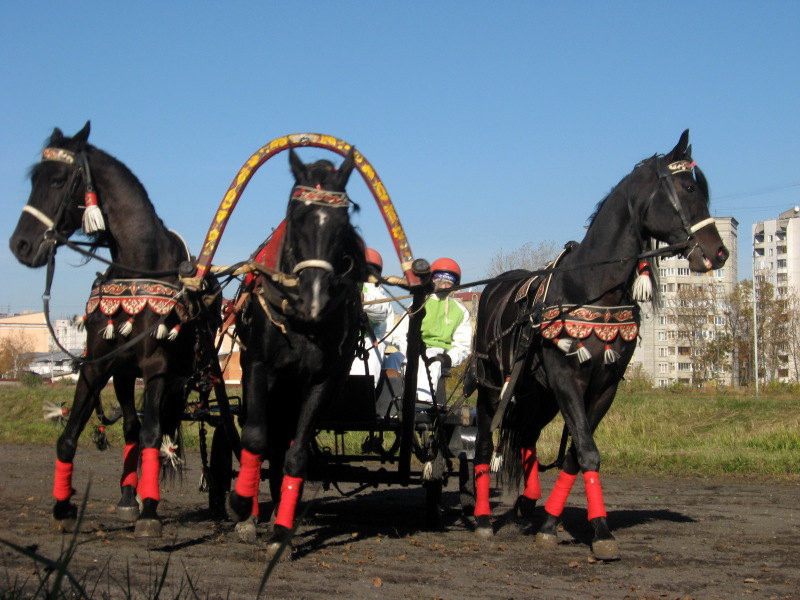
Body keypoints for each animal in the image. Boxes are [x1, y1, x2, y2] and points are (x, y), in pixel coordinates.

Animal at [8, 124, 219, 536]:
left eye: (58, 180)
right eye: (34, 179)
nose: (20, 245)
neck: (141, 265)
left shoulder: (157, 368)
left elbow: (154, 434)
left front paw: (151, 513)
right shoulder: (97, 365)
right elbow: (69, 435)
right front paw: (63, 506)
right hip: (124, 375)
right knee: (132, 428)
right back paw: (127, 498)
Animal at [228, 146, 366, 556]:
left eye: (342, 222)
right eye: (296, 215)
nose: (314, 298)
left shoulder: (321, 381)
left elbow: (296, 454)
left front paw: (281, 533)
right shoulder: (258, 368)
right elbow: (254, 438)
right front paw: (241, 505)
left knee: (283, 442)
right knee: (263, 437)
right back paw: (250, 513)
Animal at [472, 130, 728, 556]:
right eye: (689, 188)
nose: (718, 253)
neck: (590, 288)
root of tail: (493, 288)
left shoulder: (603, 387)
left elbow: (578, 455)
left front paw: (561, 524)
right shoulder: (566, 379)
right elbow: (587, 451)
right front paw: (596, 530)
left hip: (537, 393)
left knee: (526, 438)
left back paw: (528, 504)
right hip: (494, 387)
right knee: (482, 442)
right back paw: (481, 519)